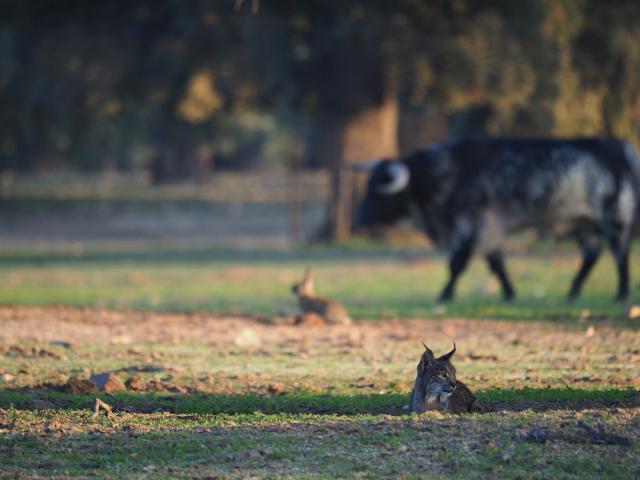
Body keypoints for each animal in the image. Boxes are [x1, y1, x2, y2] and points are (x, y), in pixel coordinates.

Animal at [355, 138, 640, 302]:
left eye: (377, 190)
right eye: (367, 185)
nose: (357, 218)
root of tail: (621, 147)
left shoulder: (472, 222)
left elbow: (457, 263)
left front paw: (445, 294)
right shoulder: (490, 229)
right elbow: (496, 263)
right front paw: (509, 293)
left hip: (613, 216)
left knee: (620, 254)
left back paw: (622, 293)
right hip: (581, 222)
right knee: (592, 254)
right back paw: (573, 291)